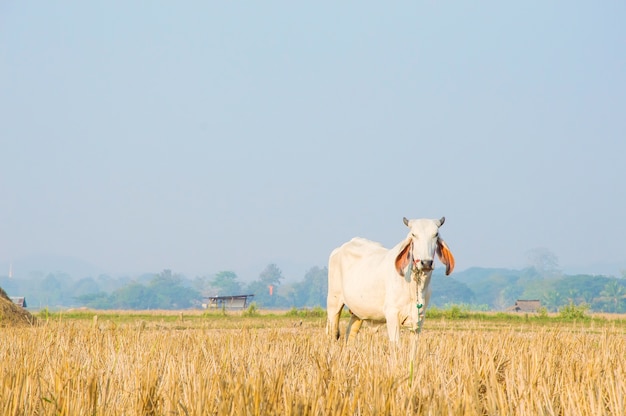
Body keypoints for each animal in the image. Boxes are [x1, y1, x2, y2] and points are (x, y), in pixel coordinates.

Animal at [326, 216, 454, 342]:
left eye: (436, 234)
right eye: (413, 234)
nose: (426, 263)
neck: (415, 286)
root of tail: (339, 248)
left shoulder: (419, 320)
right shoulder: (392, 315)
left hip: (358, 310)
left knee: (350, 335)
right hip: (334, 301)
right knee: (333, 333)